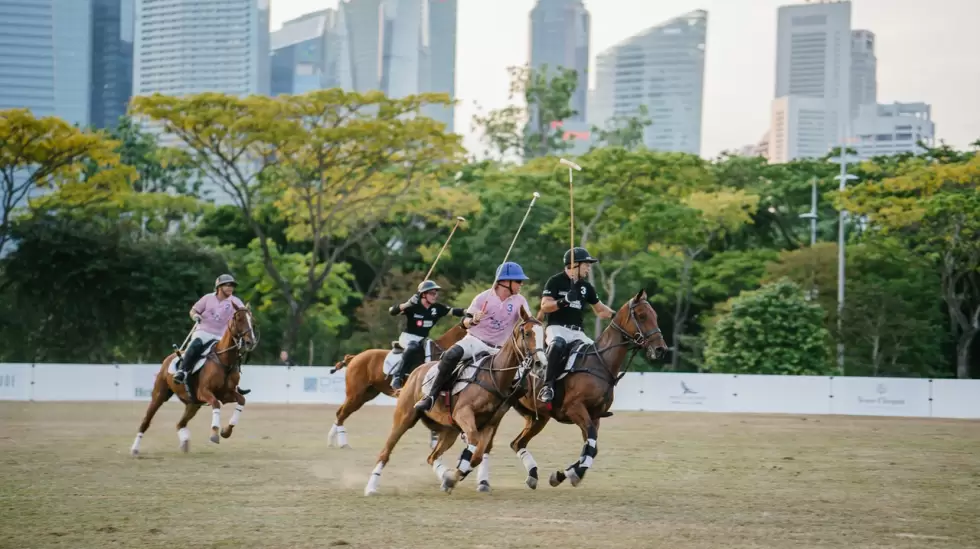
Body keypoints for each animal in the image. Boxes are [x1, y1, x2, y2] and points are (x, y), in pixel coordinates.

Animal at [132, 302, 258, 456]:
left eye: (252, 320)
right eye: (239, 318)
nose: (250, 342)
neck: (224, 361)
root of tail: (169, 357)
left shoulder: (226, 394)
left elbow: (241, 400)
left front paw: (226, 431)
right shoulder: (204, 391)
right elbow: (216, 404)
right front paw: (214, 433)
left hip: (193, 403)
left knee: (180, 423)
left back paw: (185, 442)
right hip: (159, 395)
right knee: (146, 421)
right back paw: (135, 449)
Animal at [326, 324, 468, 448]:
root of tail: (354, 357)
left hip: (366, 394)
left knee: (341, 413)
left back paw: (332, 440)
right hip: (355, 394)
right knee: (341, 414)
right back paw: (342, 443)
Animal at [364, 304, 548, 496]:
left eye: (543, 334)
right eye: (527, 333)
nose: (540, 364)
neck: (495, 377)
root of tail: (415, 371)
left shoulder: (490, 424)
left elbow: (477, 456)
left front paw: (452, 477)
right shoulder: (463, 413)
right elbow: (473, 441)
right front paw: (454, 476)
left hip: (449, 430)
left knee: (432, 457)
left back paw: (445, 477)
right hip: (404, 417)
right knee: (386, 451)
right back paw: (371, 487)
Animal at [502, 292, 668, 488]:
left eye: (655, 316)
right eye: (642, 316)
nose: (661, 349)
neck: (601, 364)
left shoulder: (595, 415)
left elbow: (591, 447)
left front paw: (562, 475)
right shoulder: (575, 408)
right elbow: (590, 443)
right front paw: (574, 473)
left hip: (538, 417)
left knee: (517, 443)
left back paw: (533, 475)